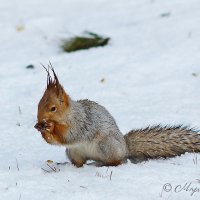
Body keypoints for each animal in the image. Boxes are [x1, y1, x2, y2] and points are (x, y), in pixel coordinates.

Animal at [34, 66, 200, 167]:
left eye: (53, 108)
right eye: (38, 104)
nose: (40, 120)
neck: (69, 114)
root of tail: (125, 148)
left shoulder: (82, 122)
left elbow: (70, 135)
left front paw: (49, 127)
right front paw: (41, 129)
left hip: (106, 146)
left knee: (117, 161)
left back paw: (101, 164)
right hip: (74, 152)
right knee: (79, 162)